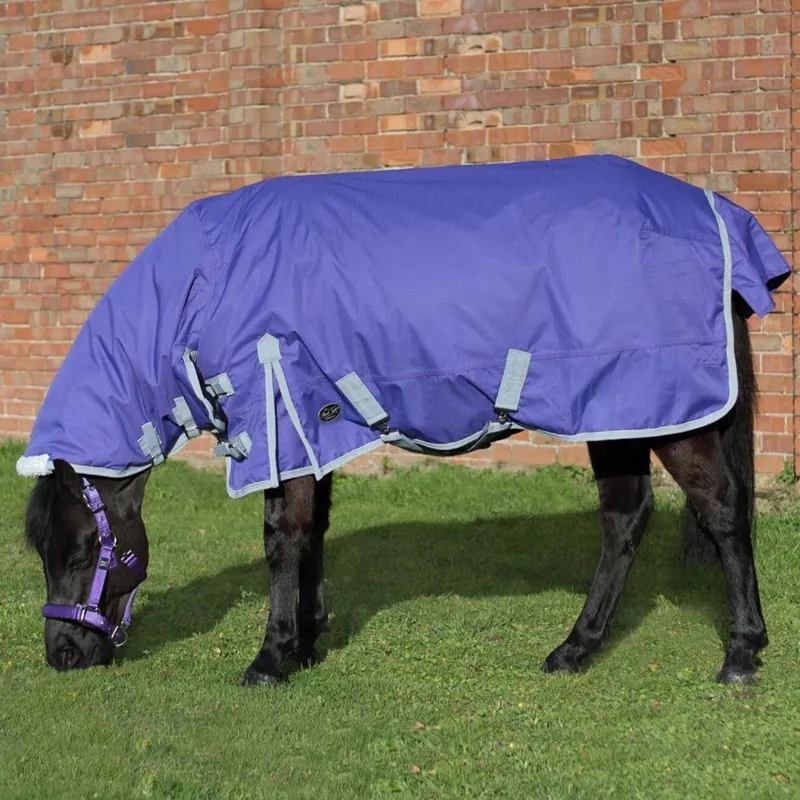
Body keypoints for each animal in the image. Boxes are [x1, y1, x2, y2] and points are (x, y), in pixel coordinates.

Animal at [19, 157, 788, 685]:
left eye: (83, 551)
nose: (62, 655)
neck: (208, 283)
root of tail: (719, 216)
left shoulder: (279, 415)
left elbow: (281, 538)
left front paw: (270, 658)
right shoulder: (313, 427)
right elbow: (311, 533)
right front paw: (307, 640)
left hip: (660, 408)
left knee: (722, 511)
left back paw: (742, 651)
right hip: (618, 412)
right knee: (626, 520)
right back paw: (576, 648)